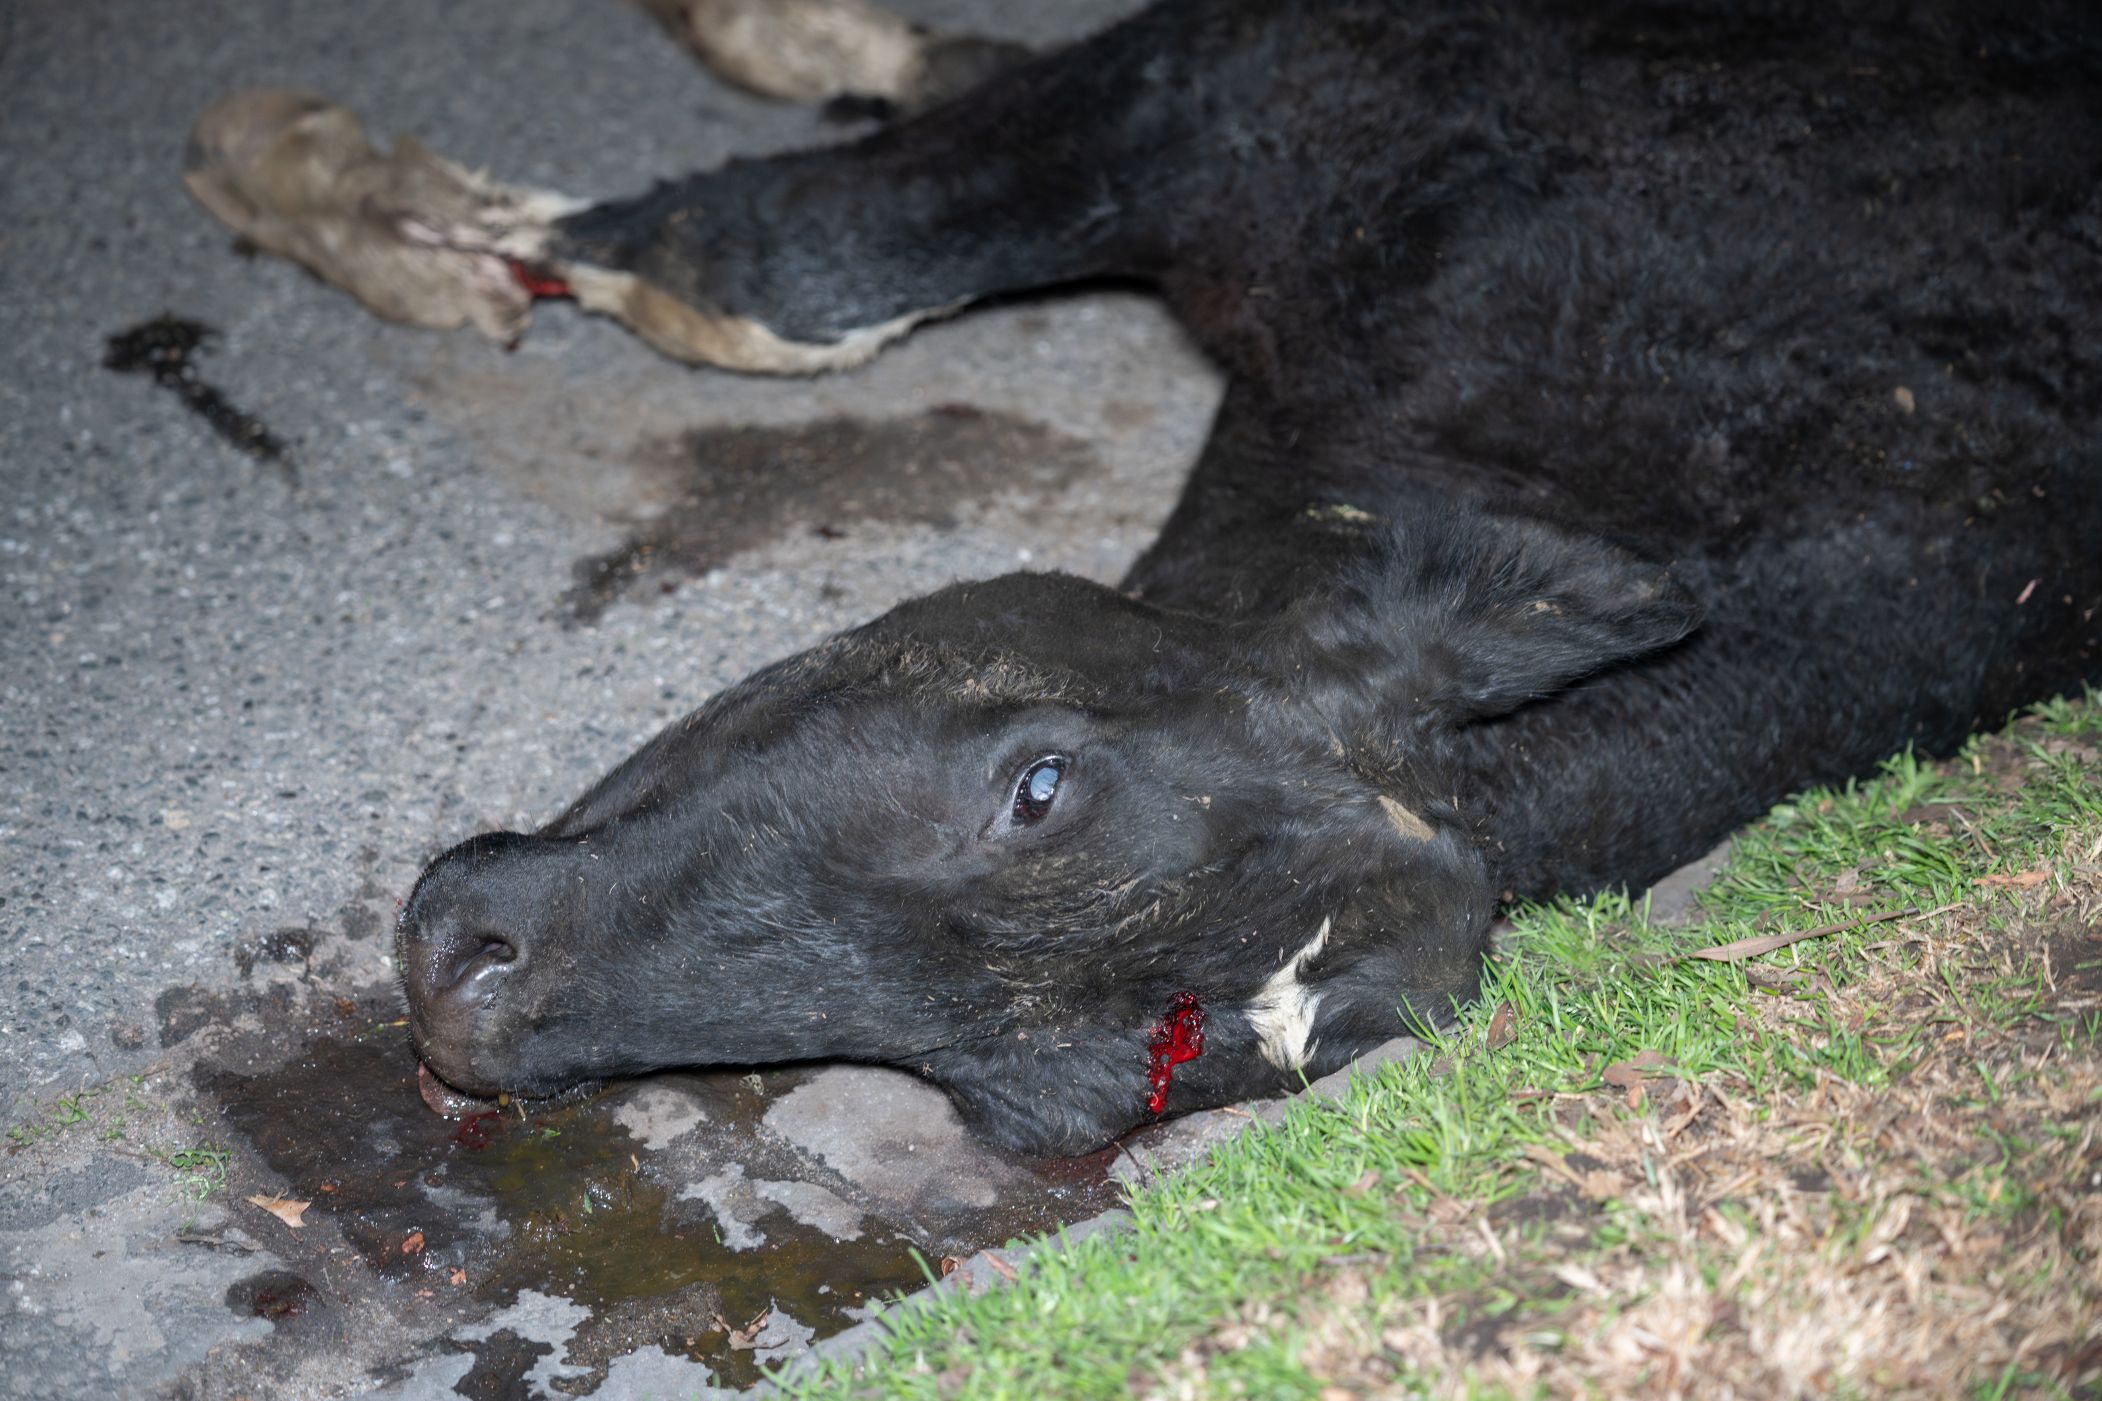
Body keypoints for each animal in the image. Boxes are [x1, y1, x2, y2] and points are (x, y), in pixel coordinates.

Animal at [184, 0, 2102, 1151]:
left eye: (1026, 1096)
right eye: (1039, 783)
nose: (463, 988)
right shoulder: (1248, 76)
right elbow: (770, 262)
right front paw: (330, 180)